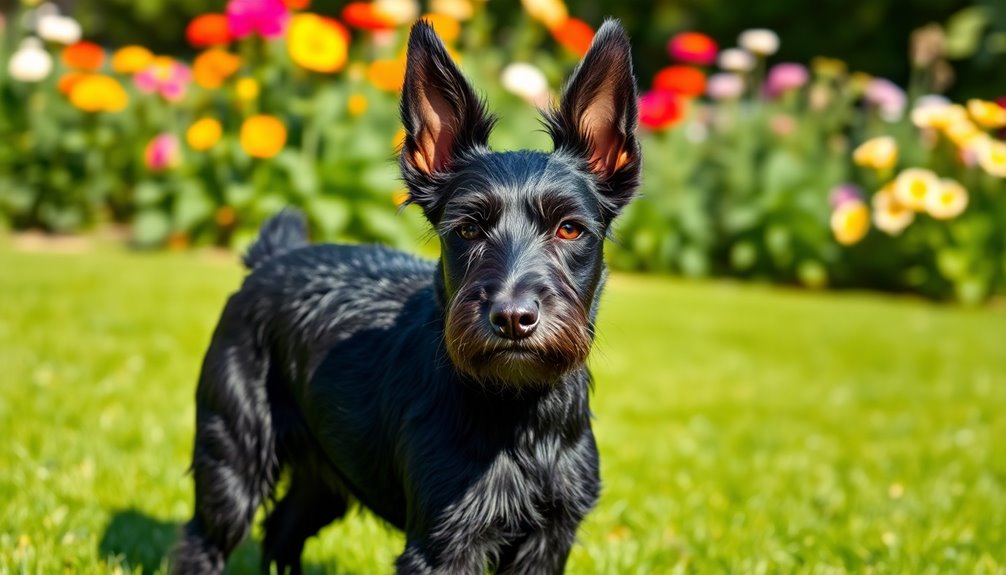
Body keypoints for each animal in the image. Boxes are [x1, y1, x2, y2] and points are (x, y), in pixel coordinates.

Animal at [173, 17, 639, 575]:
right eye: (467, 229)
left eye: (570, 229)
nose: (512, 317)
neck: (520, 414)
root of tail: (271, 258)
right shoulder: (443, 543)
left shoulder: (550, 537)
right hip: (233, 460)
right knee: (202, 540)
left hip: (325, 474)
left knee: (284, 529)